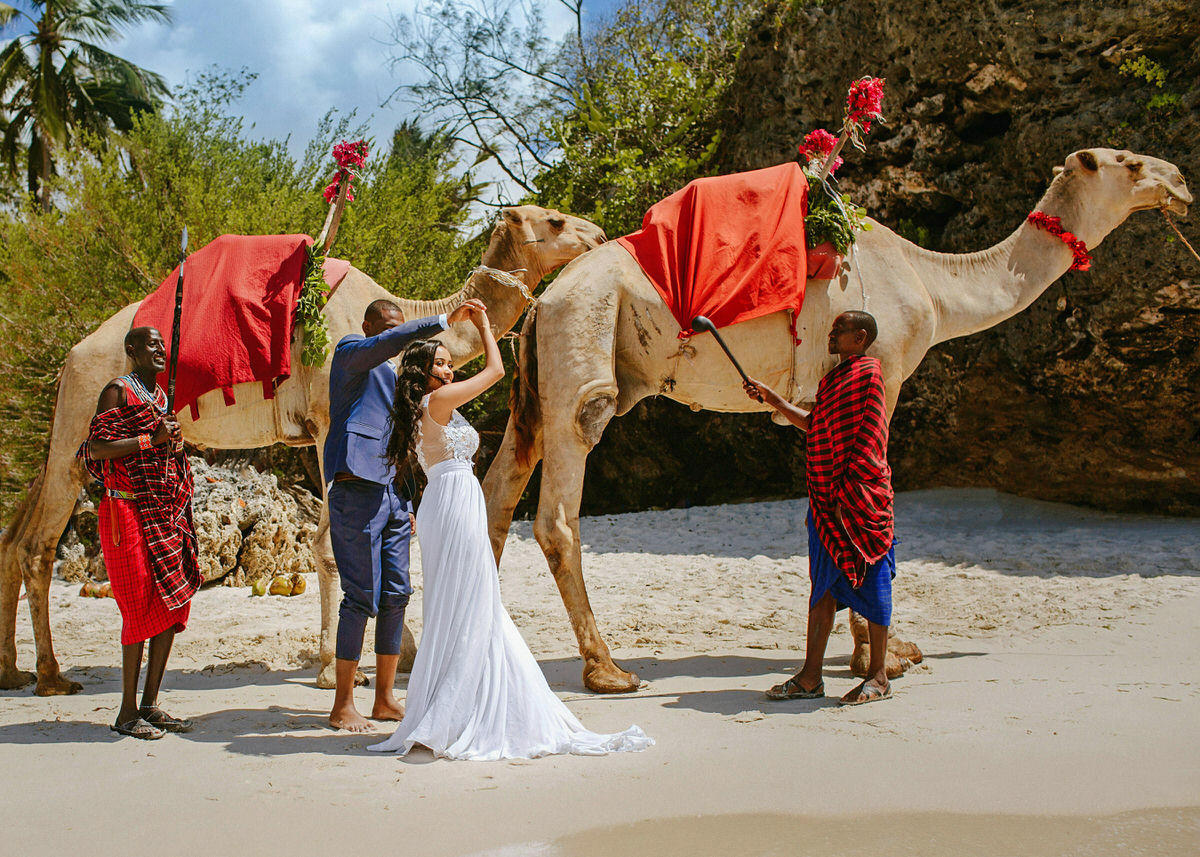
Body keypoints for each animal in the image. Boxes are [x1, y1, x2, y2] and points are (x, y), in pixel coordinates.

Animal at [0, 206, 604, 696]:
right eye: (553, 221)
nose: (597, 233)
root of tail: (70, 358)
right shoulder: (326, 424)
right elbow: (331, 544)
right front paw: (331, 667)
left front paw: (400, 651)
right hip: (86, 410)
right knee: (36, 543)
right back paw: (52, 677)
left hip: (68, 430)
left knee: (14, 533)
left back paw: (15, 672)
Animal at [482, 148, 1195, 696]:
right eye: (1130, 163)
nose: (1182, 182)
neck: (934, 284)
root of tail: (543, 301)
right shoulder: (887, 369)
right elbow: (868, 496)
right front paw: (884, 656)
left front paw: (869, 649)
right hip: (583, 358)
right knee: (558, 510)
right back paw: (607, 671)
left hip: (538, 387)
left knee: (498, 491)